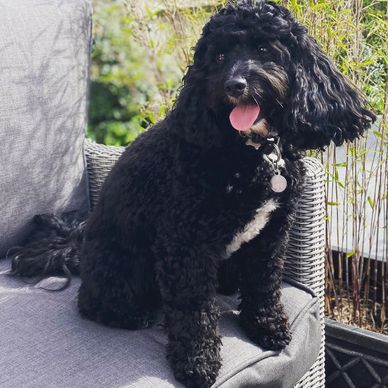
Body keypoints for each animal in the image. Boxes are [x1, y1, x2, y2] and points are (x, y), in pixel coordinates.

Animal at [10, 1, 374, 386]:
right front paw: (197, 362)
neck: (251, 152)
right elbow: (194, 308)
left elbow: (264, 282)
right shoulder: (185, 244)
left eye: (264, 49)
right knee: (93, 303)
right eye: (219, 56)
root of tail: (77, 249)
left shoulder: (272, 234)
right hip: (122, 267)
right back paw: (133, 315)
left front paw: (266, 326)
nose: (234, 85)